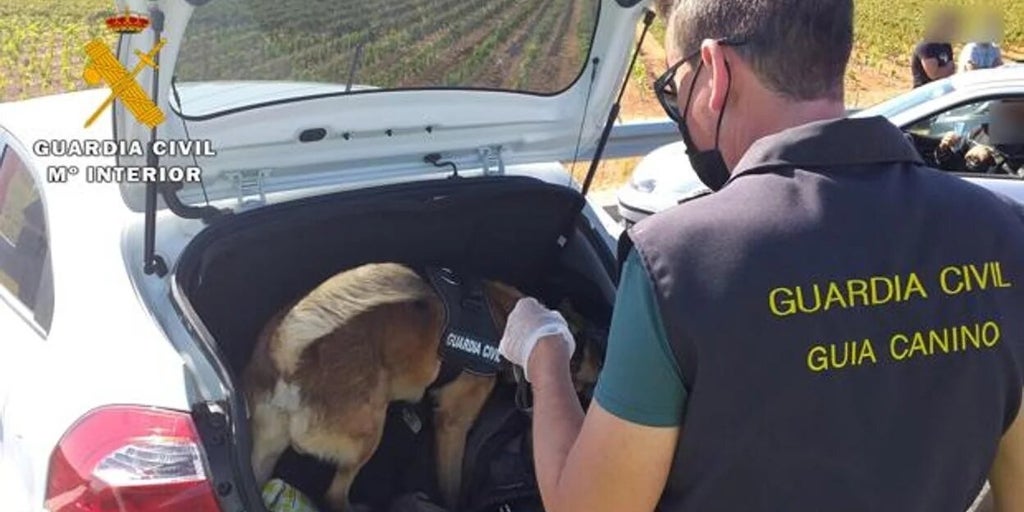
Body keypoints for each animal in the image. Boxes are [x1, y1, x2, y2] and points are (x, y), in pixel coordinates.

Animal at [244, 264, 602, 512]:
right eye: (586, 382)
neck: (504, 313)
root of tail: (290, 355)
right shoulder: (453, 425)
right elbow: (452, 485)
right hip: (370, 433)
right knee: (334, 495)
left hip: (266, 452)